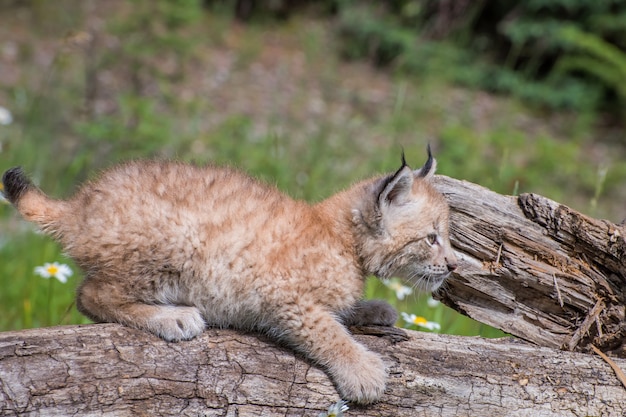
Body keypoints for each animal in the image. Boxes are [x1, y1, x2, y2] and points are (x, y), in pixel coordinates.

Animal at [2, 147, 456, 404]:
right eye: (432, 238)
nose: (452, 266)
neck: (343, 240)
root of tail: (79, 206)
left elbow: (338, 312)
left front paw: (374, 309)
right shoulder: (281, 293)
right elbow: (327, 332)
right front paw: (362, 372)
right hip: (176, 243)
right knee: (90, 295)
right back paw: (172, 317)